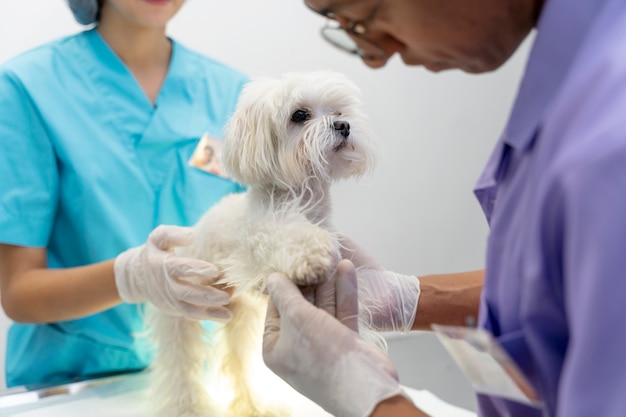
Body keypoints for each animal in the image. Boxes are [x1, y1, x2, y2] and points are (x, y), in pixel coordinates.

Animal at [147, 71, 380, 416]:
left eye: (338, 112)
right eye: (300, 115)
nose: (343, 125)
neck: (303, 201)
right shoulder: (256, 241)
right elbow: (283, 238)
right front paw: (310, 255)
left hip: (241, 319)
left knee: (240, 362)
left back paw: (255, 405)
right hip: (179, 312)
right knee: (179, 367)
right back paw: (188, 407)